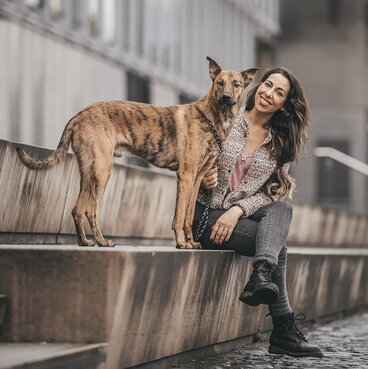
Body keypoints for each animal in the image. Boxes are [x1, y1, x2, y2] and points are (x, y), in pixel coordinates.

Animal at [17, 56, 258, 247]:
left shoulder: (198, 177)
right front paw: (181, 244)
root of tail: (80, 114)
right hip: (102, 171)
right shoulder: (186, 176)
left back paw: (85, 241)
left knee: (77, 209)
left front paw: (190, 242)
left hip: (88, 172)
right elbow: (179, 216)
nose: (226, 97)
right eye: (219, 83)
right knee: (90, 210)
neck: (211, 117)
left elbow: (189, 216)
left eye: (236, 84)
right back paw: (102, 241)